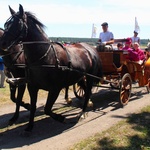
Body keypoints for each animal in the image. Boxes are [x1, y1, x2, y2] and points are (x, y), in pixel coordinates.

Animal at [0, 4, 102, 132]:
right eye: (6, 24)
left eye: (17, 24)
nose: (2, 43)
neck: (45, 57)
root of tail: (90, 49)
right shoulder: (31, 86)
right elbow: (32, 106)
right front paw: (29, 125)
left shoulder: (54, 89)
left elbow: (47, 109)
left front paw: (60, 118)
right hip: (80, 77)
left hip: (89, 78)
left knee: (88, 92)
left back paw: (82, 112)